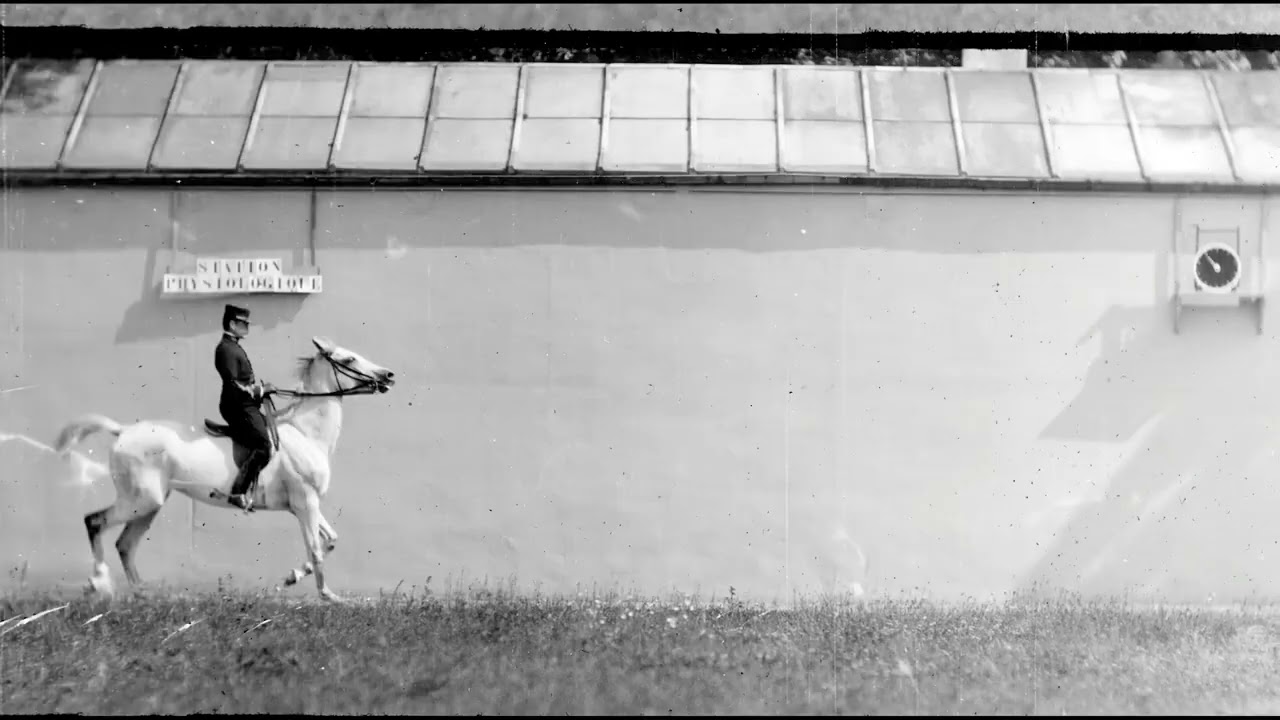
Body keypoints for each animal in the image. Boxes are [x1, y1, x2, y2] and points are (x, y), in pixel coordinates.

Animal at [53, 336, 396, 603]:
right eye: (349, 358)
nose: (388, 375)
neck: (306, 433)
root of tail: (123, 431)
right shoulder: (305, 503)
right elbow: (316, 547)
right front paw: (328, 596)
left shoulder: (305, 506)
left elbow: (331, 540)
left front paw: (292, 577)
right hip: (139, 501)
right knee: (95, 522)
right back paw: (99, 584)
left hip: (148, 505)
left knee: (125, 544)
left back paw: (142, 592)